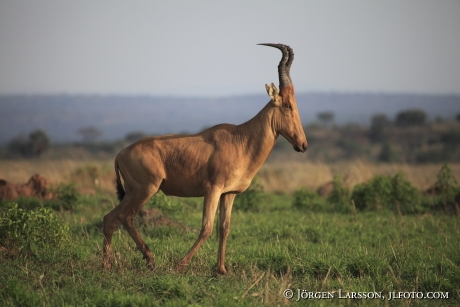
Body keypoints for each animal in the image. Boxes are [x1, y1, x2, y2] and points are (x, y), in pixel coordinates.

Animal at [102, 42, 308, 274]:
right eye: (288, 105)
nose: (303, 145)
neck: (241, 138)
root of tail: (121, 153)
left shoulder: (229, 194)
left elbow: (224, 228)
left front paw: (221, 269)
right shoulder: (213, 190)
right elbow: (206, 228)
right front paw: (181, 264)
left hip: (131, 192)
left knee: (110, 218)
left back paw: (108, 264)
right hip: (144, 190)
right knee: (126, 217)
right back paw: (148, 259)